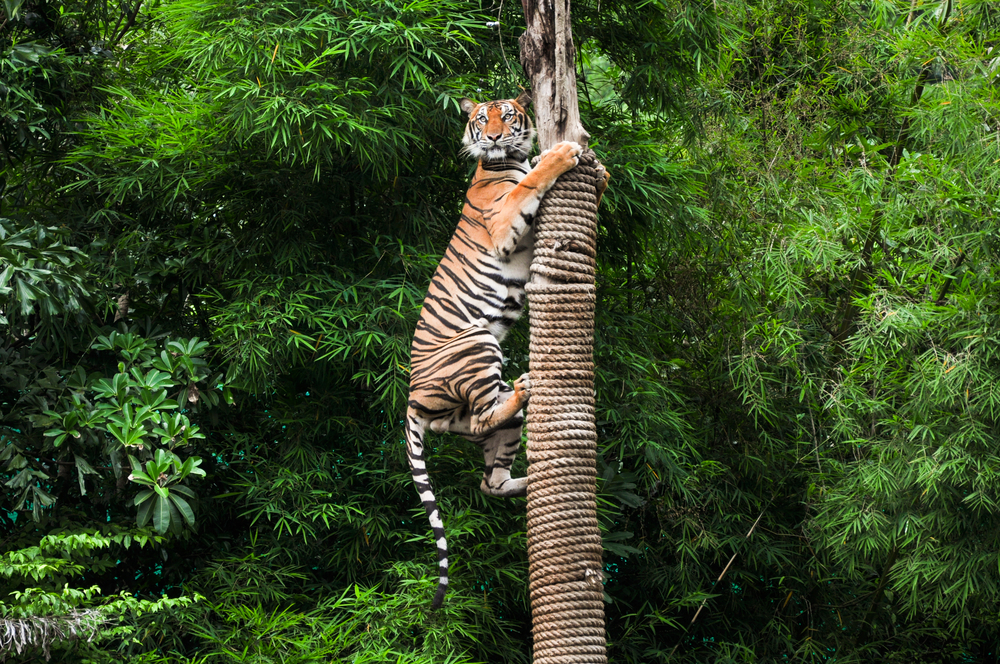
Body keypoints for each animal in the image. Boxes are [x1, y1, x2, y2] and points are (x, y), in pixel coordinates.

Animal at [404, 91, 592, 609]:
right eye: (479, 120)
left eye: (506, 117)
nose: (490, 138)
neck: (507, 158)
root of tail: (411, 398)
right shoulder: (508, 222)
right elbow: (530, 180)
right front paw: (562, 153)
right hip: (477, 341)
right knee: (485, 418)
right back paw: (524, 386)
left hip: (479, 423)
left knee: (488, 475)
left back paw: (529, 481)